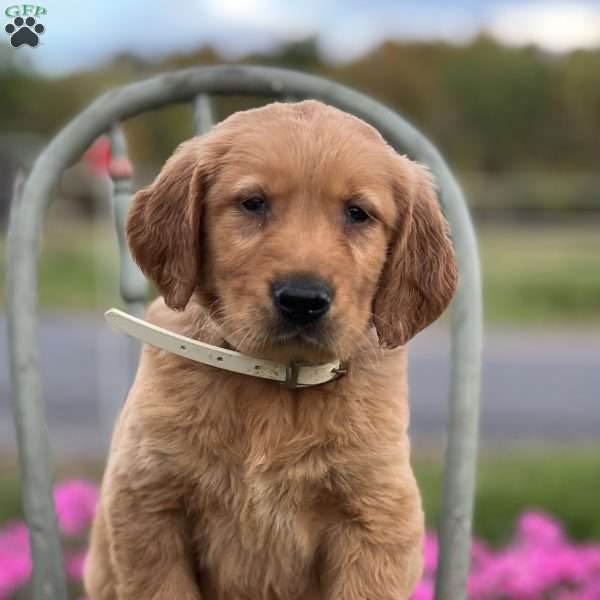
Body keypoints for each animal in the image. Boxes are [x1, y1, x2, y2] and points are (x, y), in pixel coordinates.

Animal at [84, 101, 458, 596]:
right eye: (253, 203)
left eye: (358, 213)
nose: (303, 299)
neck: (275, 382)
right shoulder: (146, 503)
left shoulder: (376, 518)